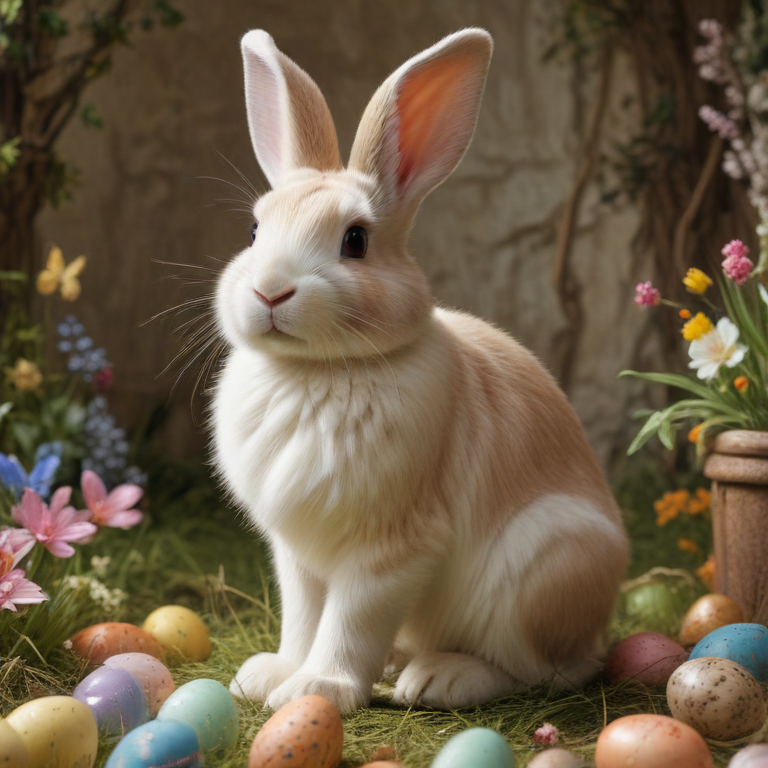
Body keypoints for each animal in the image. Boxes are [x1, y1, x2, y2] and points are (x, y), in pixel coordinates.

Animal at [213, 27, 629, 714]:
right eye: (252, 229)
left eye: (355, 240)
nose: (271, 291)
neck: (316, 372)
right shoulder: (298, 557)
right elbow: (304, 618)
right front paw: (274, 676)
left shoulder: (390, 552)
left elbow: (350, 624)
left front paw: (322, 688)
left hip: (543, 573)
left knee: (548, 671)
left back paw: (439, 677)